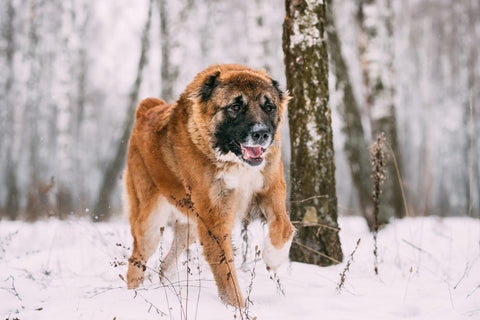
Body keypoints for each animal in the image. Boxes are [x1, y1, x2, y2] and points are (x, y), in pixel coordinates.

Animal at [125, 63, 294, 306]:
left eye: (269, 106)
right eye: (235, 106)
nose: (261, 133)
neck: (233, 160)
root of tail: (146, 109)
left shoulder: (271, 189)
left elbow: (284, 226)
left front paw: (273, 258)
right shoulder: (215, 219)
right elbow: (226, 273)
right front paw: (237, 307)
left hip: (191, 227)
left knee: (165, 265)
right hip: (150, 223)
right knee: (135, 262)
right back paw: (133, 297)